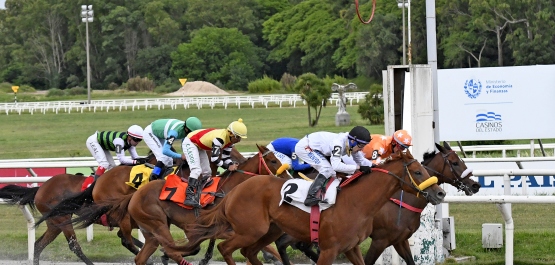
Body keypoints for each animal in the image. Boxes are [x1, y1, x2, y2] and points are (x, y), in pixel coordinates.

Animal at [167, 150, 446, 262]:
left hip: (269, 230)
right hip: (251, 230)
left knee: (249, 252)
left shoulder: (351, 247)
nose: (440, 192)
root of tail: (233, 191)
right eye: (418, 172)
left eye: (425, 169)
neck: (358, 202)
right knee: (226, 249)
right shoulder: (329, 249)